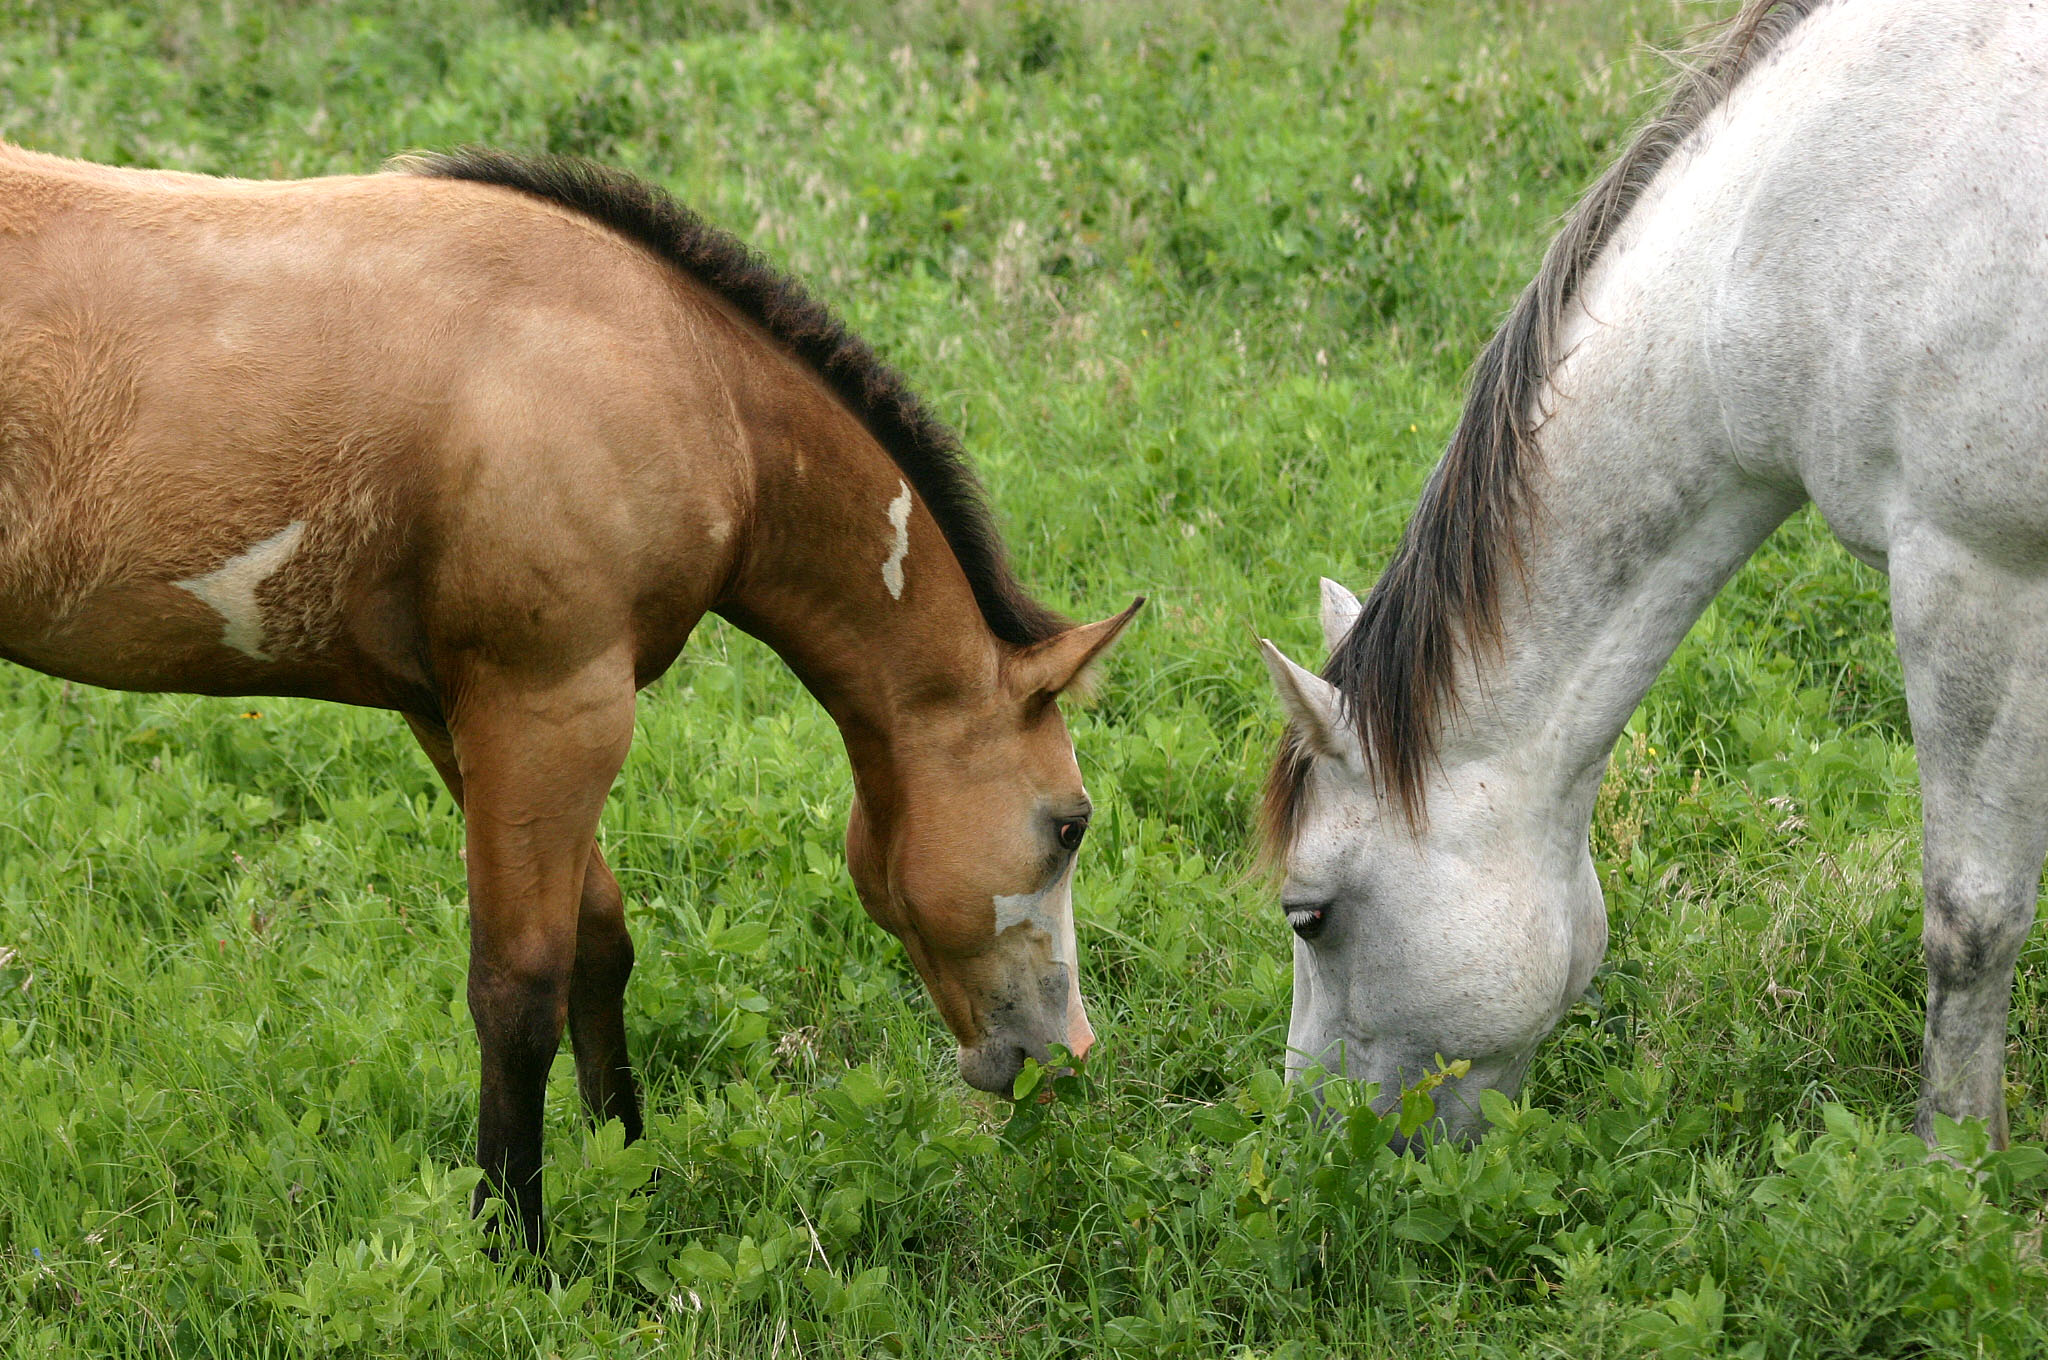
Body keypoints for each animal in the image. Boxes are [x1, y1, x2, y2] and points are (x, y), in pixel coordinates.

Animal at [0, 142, 1140, 1250]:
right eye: (1070, 825)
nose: (1069, 1051)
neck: (680, 371)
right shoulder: (552, 708)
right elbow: (519, 987)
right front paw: (515, 1244)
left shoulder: (459, 716)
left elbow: (599, 940)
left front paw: (626, 1167)